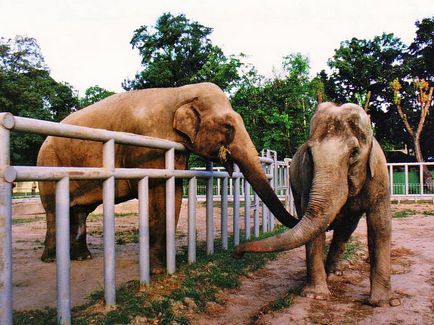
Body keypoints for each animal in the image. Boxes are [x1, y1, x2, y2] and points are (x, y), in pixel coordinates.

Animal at [38, 81, 298, 268]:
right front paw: (158, 270)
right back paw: (51, 259)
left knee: (79, 210)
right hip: (48, 163)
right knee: (53, 210)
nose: (237, 255)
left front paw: (166, 266)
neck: (180, 93)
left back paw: (82, 257)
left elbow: (174, 192)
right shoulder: (149, 147)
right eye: (228, 127)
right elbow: (159, 194)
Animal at [234, 102, 400, 306]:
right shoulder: (307, 177)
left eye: (354, 152)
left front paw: (385, 303)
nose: (237, 253)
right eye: (310, 153)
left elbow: (380, 226)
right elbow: (314, 227)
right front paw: (316, 296)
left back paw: (334, 273)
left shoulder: (379, 176)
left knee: (346, 228)